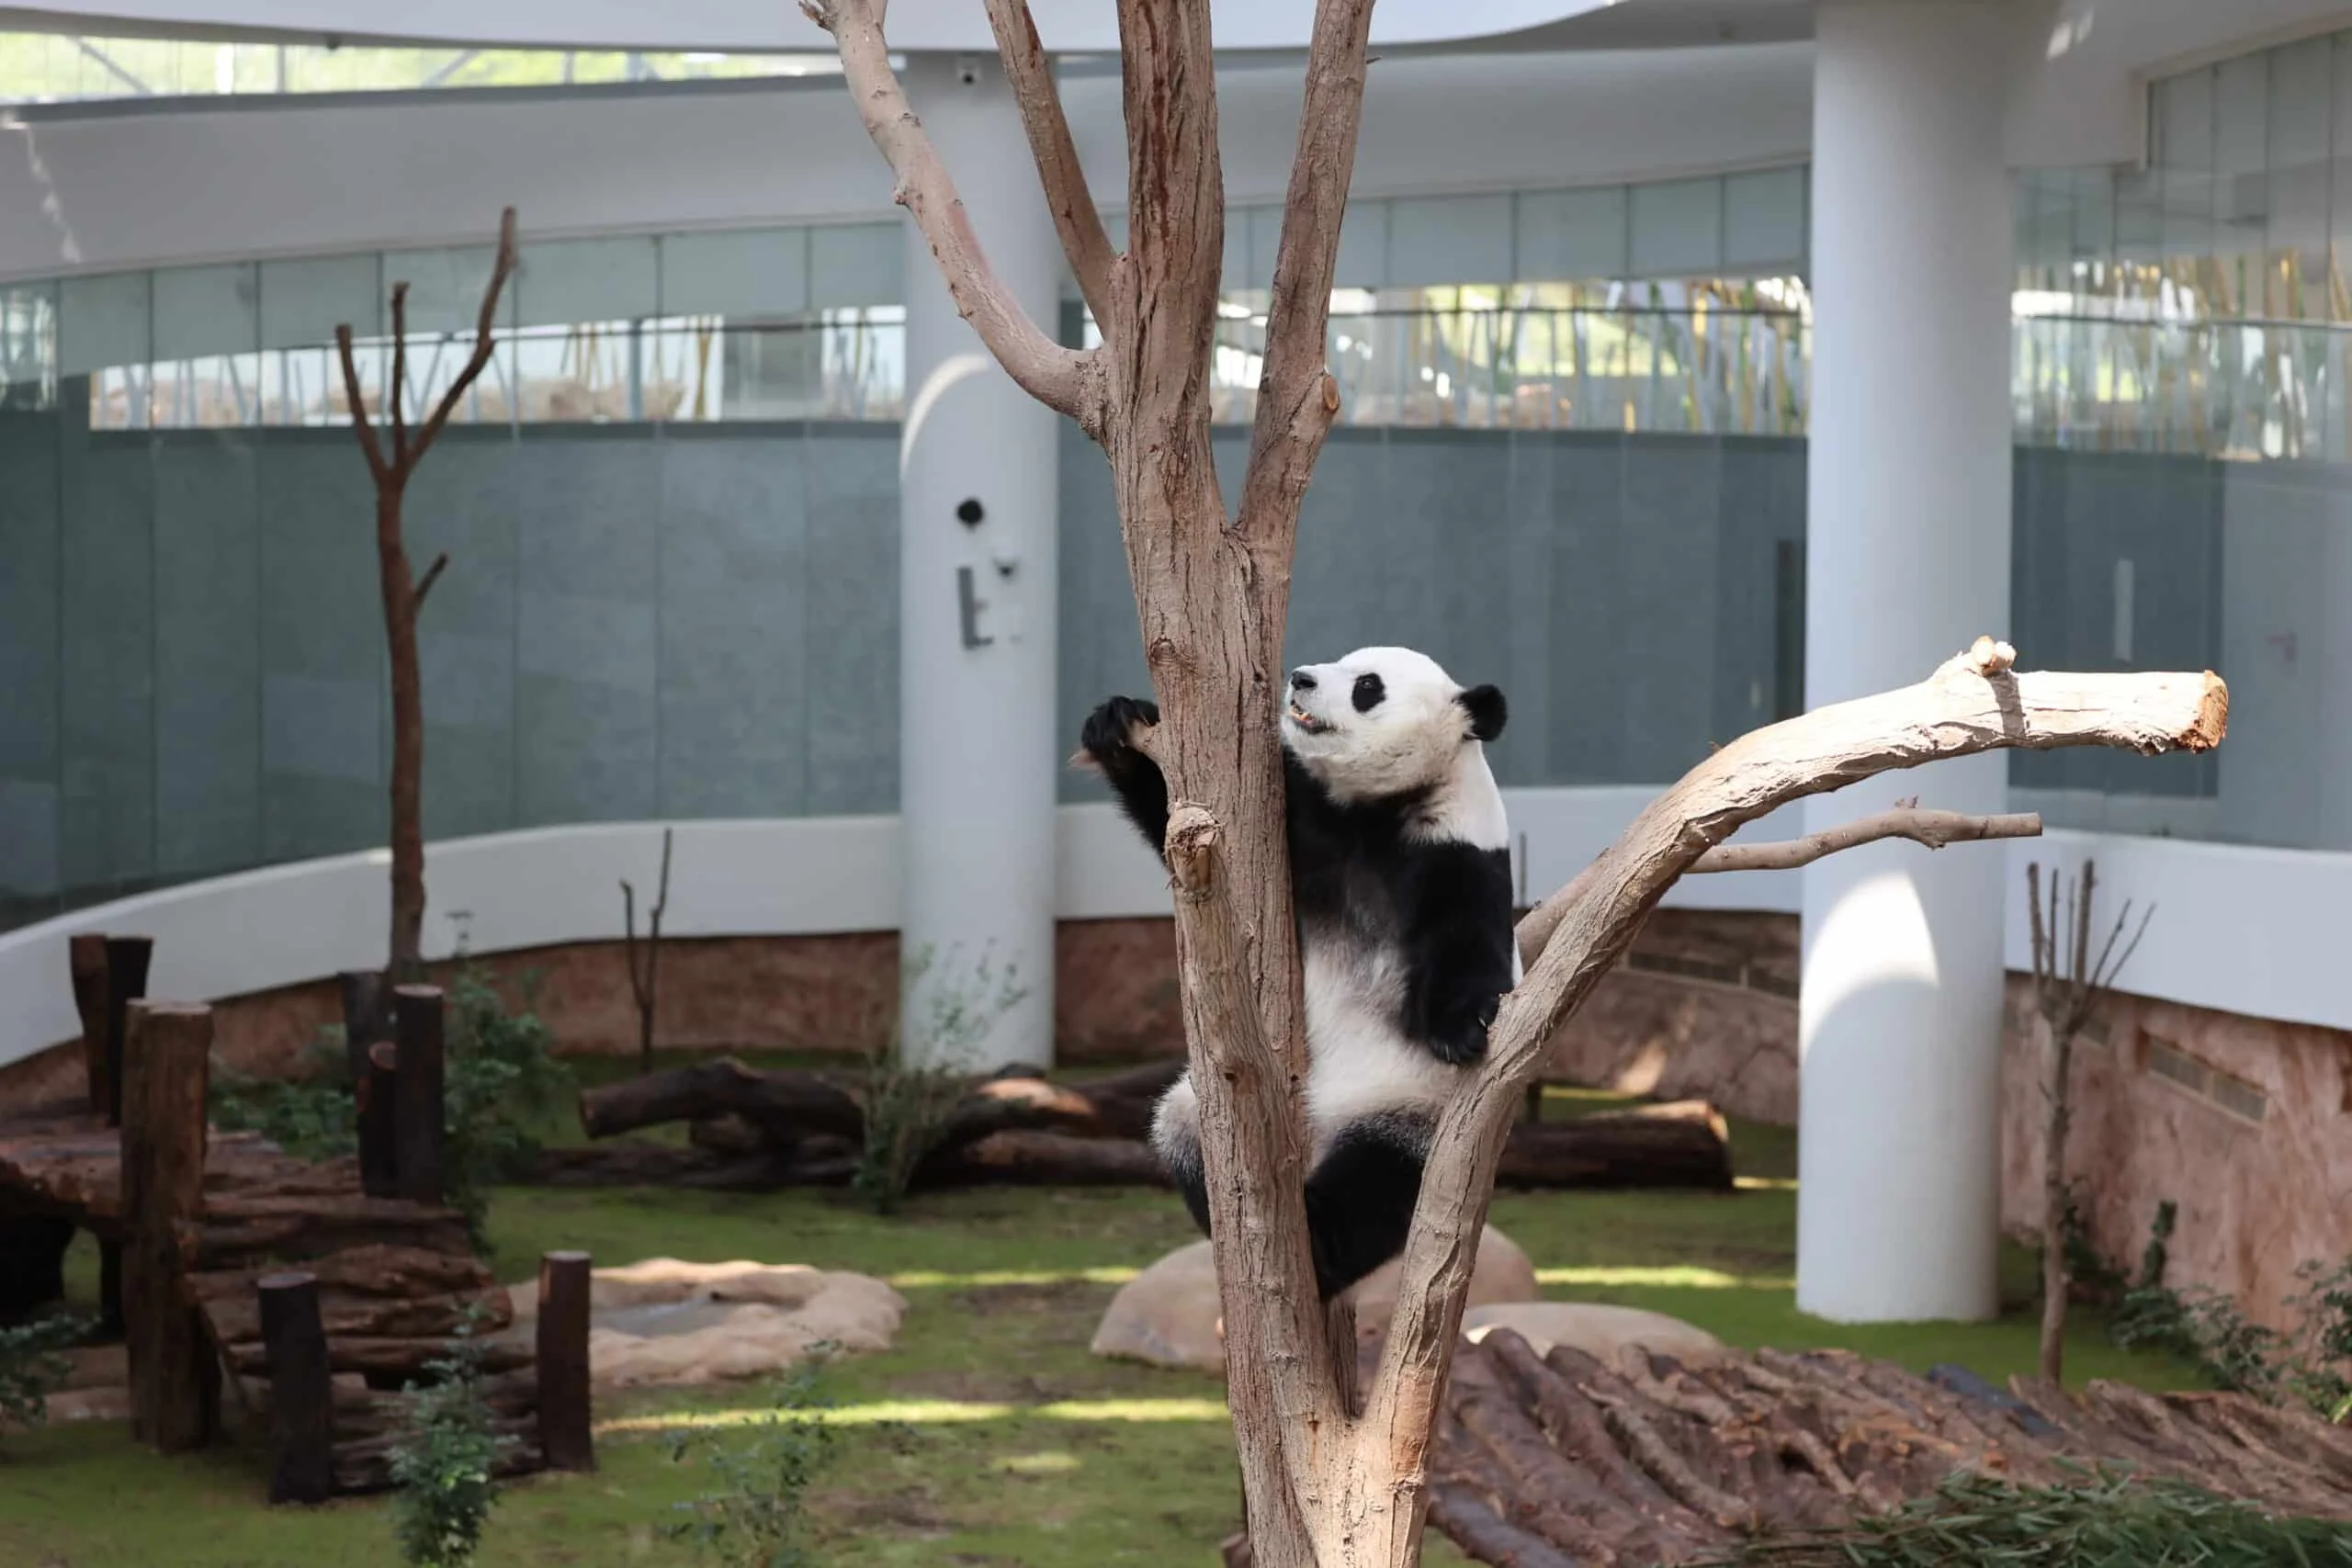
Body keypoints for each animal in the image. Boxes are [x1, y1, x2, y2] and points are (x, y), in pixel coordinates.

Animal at [1078, 645, 1519, 1301]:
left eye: (1368, 686)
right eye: (1343, 660)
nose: (1301, 679)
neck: (1376, 812)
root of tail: (1318, 1126)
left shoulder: (1456, 856)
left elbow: (1469, 947)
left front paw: (1463, 1029)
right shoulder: (1303, 831)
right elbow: (1184, 830)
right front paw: (1119, 726)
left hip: (1410, 1105)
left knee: (1381, 1181)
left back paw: (1321, 1243)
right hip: (1198, 1109)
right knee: (1182, 1131)